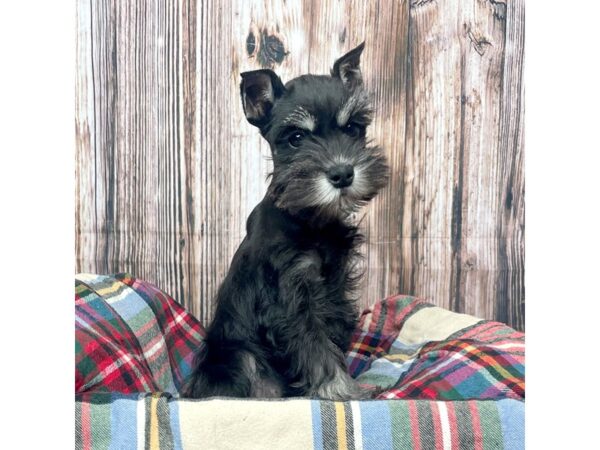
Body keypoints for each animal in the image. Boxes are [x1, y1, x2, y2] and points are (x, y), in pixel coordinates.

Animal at [183, 42, 390, 400]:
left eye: (352, 128)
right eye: (295, 137)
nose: (342, 173)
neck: (311, 219)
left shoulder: (334, 289)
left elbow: (332, 340)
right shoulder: (291, 297)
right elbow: (317, 349)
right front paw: (340, 391)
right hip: (239, 353)